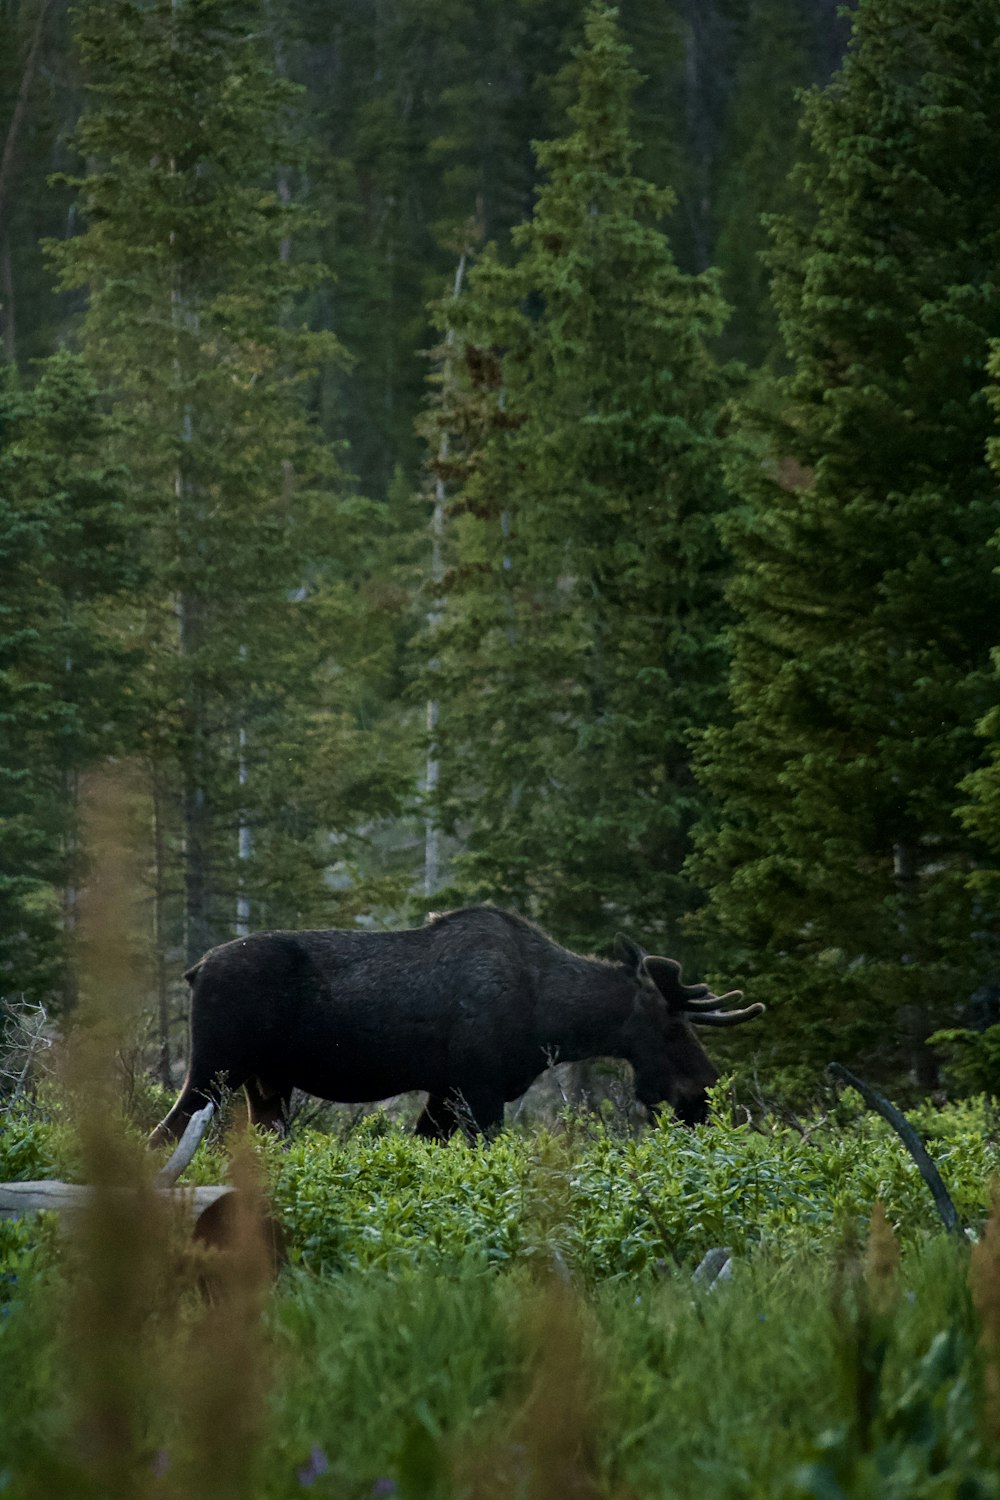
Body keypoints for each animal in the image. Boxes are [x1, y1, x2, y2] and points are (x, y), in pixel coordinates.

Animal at [148, 900, 761, 1146]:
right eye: (674, 1028)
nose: (706, 1093)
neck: (553, 1023)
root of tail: (194, 969)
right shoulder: (478, 1088)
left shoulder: (445, 1092)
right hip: (214, 1068)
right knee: (162, 1134)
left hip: (266, 1085)